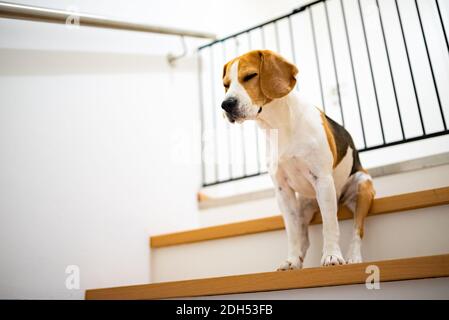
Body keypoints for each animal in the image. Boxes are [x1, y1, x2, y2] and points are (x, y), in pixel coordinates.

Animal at [221, 50, 374, 268]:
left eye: (250, 76)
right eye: (226, 84)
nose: (226, 104)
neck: (278, 125)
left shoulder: (323, 180)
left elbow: (330, 224)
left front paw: (332, 256)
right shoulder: (283, 191)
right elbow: (292, 233)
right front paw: (292, 261)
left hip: (362, 185)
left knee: (357, 229)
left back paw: (353, 257)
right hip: (303, 205)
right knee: (304, 239)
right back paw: (298, 261)